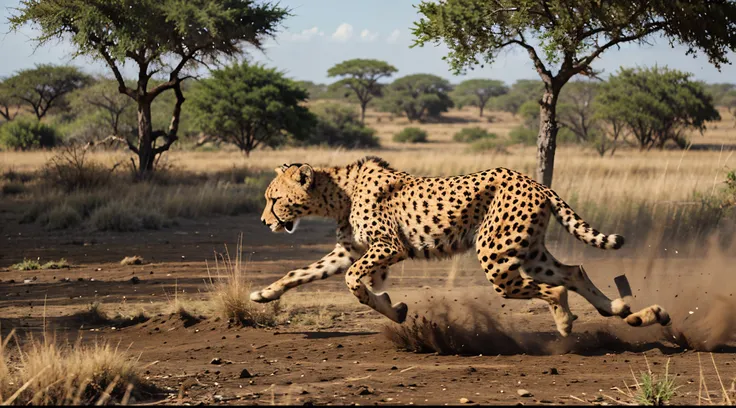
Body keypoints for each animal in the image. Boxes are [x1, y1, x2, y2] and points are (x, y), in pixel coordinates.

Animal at [254, 155, 672, 334]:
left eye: (275, 199)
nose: (263, 222)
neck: (339, 192)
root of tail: (533, 181)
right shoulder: (349, 251)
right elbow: (300, 272)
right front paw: (264, 293)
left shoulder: (390, 247)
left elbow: (354, 281)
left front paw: (391, 307)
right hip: (529, 253)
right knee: (574, 271)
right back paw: (616, 307)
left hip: (495, 255)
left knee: (554, 288)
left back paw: (566, 322)